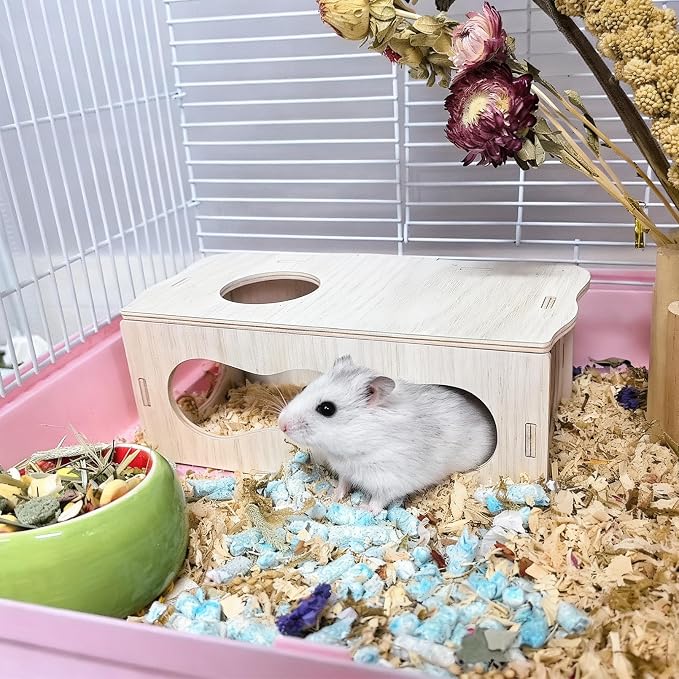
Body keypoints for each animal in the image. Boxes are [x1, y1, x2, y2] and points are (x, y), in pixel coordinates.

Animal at [277, 355, 497, 513]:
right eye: (304, 387)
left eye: (327, 409)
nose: (281, 425)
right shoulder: (345, 471)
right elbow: (343, 483)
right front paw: (332, 495)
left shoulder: (389, 479)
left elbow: (379, 499)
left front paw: (364, 509)